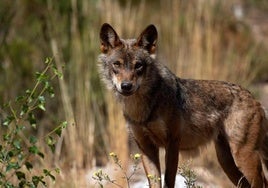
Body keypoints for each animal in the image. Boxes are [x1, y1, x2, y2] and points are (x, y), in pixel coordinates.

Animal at [98, 22, 268, 187]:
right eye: (117, 64)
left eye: (138, 65)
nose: (126, 86)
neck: (142, 109)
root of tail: (254, 98)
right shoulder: (145, 148)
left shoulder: (172, 143)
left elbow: (169, 181)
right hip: (226, 162)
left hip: (243, 157)